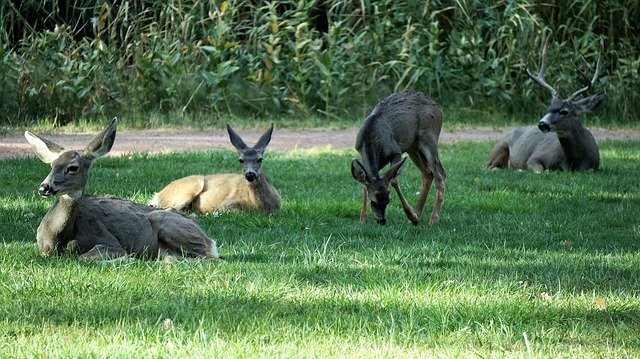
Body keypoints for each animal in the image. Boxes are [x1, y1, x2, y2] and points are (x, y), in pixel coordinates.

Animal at [24, 119, 220, 262]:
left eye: (73, 167)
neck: (58, 239)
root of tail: (211, 240)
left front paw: (128, 259)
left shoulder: (109, 241)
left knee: (211, 259)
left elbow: (84, 257)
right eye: (52, 165)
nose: (44, 187)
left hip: (164, 220)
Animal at [151, 124, 282, 215]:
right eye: (241, 160)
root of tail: (157, 195)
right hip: (192, 185)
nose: (250, 174)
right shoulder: (226, 204)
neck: (262, 206)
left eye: (260, 159)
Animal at [350, 90, 444, 225]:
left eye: (389, 199)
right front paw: (363, 218)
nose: (382, 221)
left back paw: (433, 218)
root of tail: (438, 107)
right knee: (428, 173)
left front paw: (411, 216)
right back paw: (418, 214)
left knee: (440, 175)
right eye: (373, 202)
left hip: (429, 137)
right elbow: (365, 183)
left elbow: (393, 180)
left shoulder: (395, 151)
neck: (370, 138)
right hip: (412, 146)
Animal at [488, 31, 604, 172]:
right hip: (500, 147)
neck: (573, 162)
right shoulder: (536, 156)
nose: (542, 123)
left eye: (564, 111)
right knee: (489, 167)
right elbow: (541, 170)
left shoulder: (594, 166)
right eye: (548, 108)